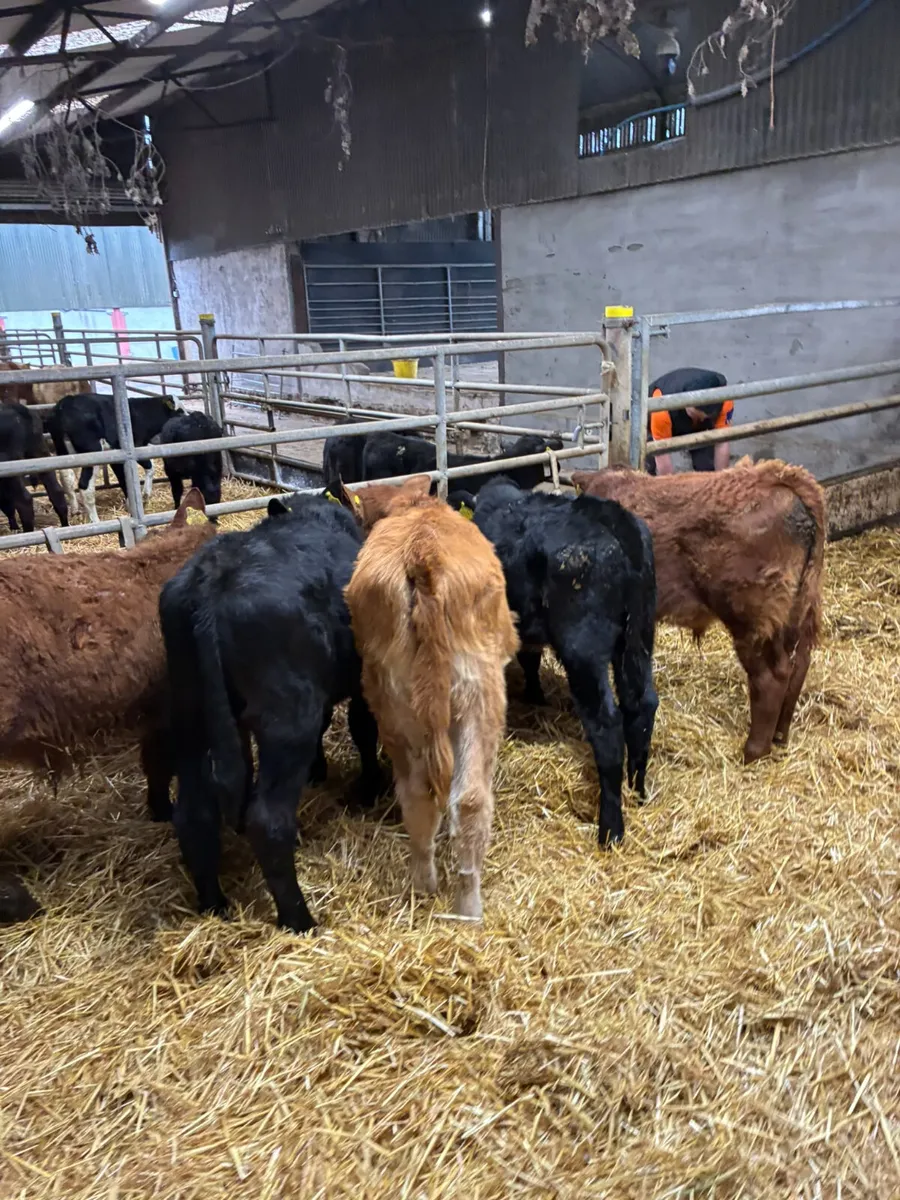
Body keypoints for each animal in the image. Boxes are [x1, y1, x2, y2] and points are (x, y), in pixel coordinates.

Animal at [45, 392, 180, 524]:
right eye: (180, 412)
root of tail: (65, 403)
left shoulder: (117, 456)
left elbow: (124, 478)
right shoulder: (134, 446)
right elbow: (148, 466)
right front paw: (144, 496)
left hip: (65, 452)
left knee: (66, 477)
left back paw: (75, 511)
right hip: (93, 454)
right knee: (85, 486)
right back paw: (95, 521)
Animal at [159, 491, 384, 933]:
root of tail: (212, 579)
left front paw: (320, 770)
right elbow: (362, 728)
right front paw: (369, 788)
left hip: (189, 716)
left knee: (194, 814)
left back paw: (214, 905)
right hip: (287, 718)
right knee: (267, 821)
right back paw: (300, 920)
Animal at [341, 475, 519, 919]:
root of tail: (423, 553)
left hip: (394, 703)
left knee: (426, 795)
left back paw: (428, 888)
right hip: (479, 694)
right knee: (468, 798)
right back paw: (466, 903)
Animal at [458, 475, 658, 846]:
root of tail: (612, 518)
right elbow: (531, 660)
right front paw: (536, 696)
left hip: (584, 650)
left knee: (607, 725)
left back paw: (610, 829)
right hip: (639, 637)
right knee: (642, 706)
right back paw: (637, 790)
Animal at [570, 458, 826, 763]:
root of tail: (779, 477)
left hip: (752, 620)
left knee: (772, 677)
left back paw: (753, 751)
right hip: (796, 613)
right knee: (799, 665)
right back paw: (780, 736)